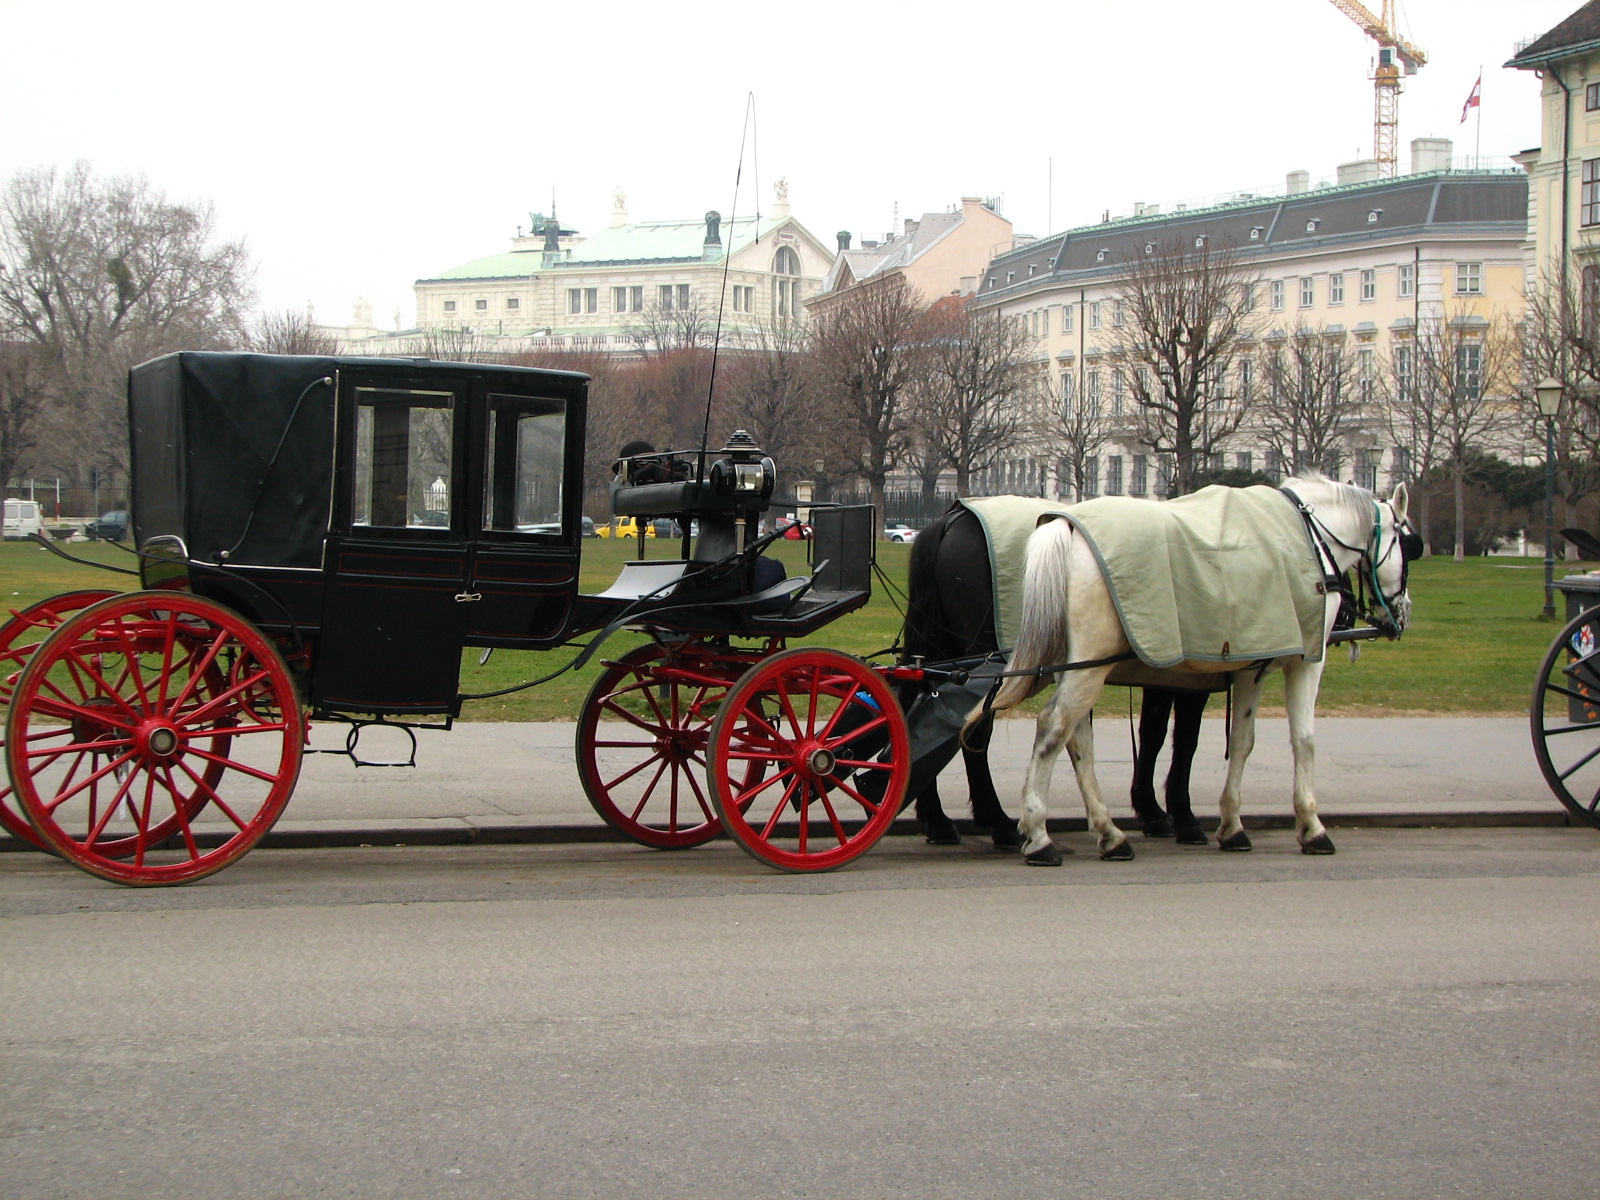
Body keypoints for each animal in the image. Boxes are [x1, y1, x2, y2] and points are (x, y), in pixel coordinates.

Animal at [902, 502, 1209, 851]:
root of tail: (952, 519)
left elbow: (1154, 732)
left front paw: (1151, 810)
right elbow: (1184, 737)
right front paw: (1180, 816)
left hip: (940, 648)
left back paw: (937, 819)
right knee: (975, 730)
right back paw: (998, 822)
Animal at [979, 476, 1420, 864]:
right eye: (1407, 543)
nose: (1403, 612)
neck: (1308, 536)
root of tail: (1066, 526)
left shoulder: (1250, 668)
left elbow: (1242, 741)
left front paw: (1232, 823)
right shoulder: (1306, 662)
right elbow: (1304, 741)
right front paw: (1311, 826)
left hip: (1074, 666)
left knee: (1077, 742)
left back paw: (1108, 832)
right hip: (1088, 666)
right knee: (1053, 728)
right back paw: (1039, 834)